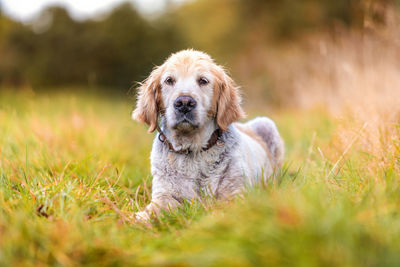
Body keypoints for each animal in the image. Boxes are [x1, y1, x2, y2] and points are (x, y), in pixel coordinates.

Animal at [133, 50, 282, 222]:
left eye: (203, 81)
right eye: (169, 80)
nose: (184, 103)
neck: (192, 150)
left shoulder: (235, 195)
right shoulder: (164, 193)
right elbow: (156, 208)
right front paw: (140, 218)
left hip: (267, 124)